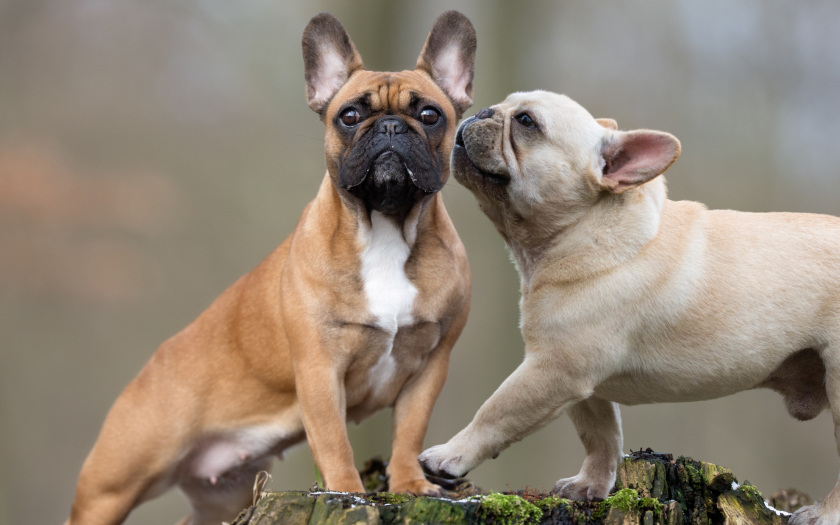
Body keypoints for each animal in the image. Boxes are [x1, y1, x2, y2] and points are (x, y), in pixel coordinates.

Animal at [69, 11, 476, 524]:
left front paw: (409, 485)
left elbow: (408, 434)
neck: (384, 226)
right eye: (349, 116)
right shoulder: (320, 371)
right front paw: (348, 493)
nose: (388, 128)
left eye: (429, 115)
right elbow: (334, 441)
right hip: (111, 485)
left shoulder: (429, 367)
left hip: (224, 497)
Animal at [418, 91, 840, 524]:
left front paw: (450, 455)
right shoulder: (581, 383)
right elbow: (601, 436)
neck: (581, 230)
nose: (483, 112)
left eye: (526, 122)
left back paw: (822, 513)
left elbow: (496, 411)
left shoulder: (554, 370)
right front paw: (591, 486)